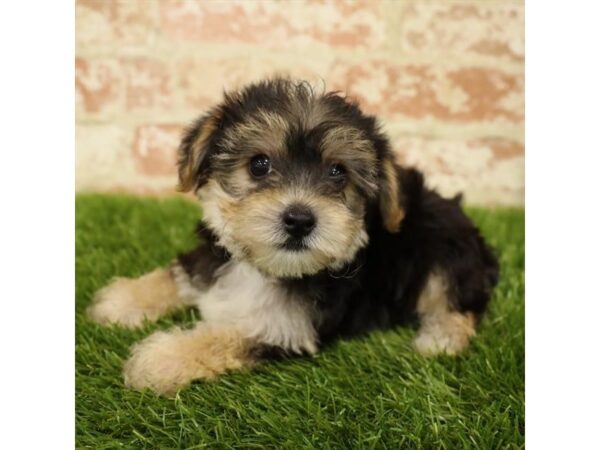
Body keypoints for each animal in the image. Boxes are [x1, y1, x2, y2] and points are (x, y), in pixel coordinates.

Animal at [86, 79, 500, 396]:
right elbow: (178, 273)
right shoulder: (212, 257)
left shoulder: (284, 330)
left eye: (337, 172)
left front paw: (160, 358)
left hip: (449, 251)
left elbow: (222, 337)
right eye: (259, 164)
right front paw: (122, 300)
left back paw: (441, 338)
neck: (266, 269)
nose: (300, 220)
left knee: (457, 298)